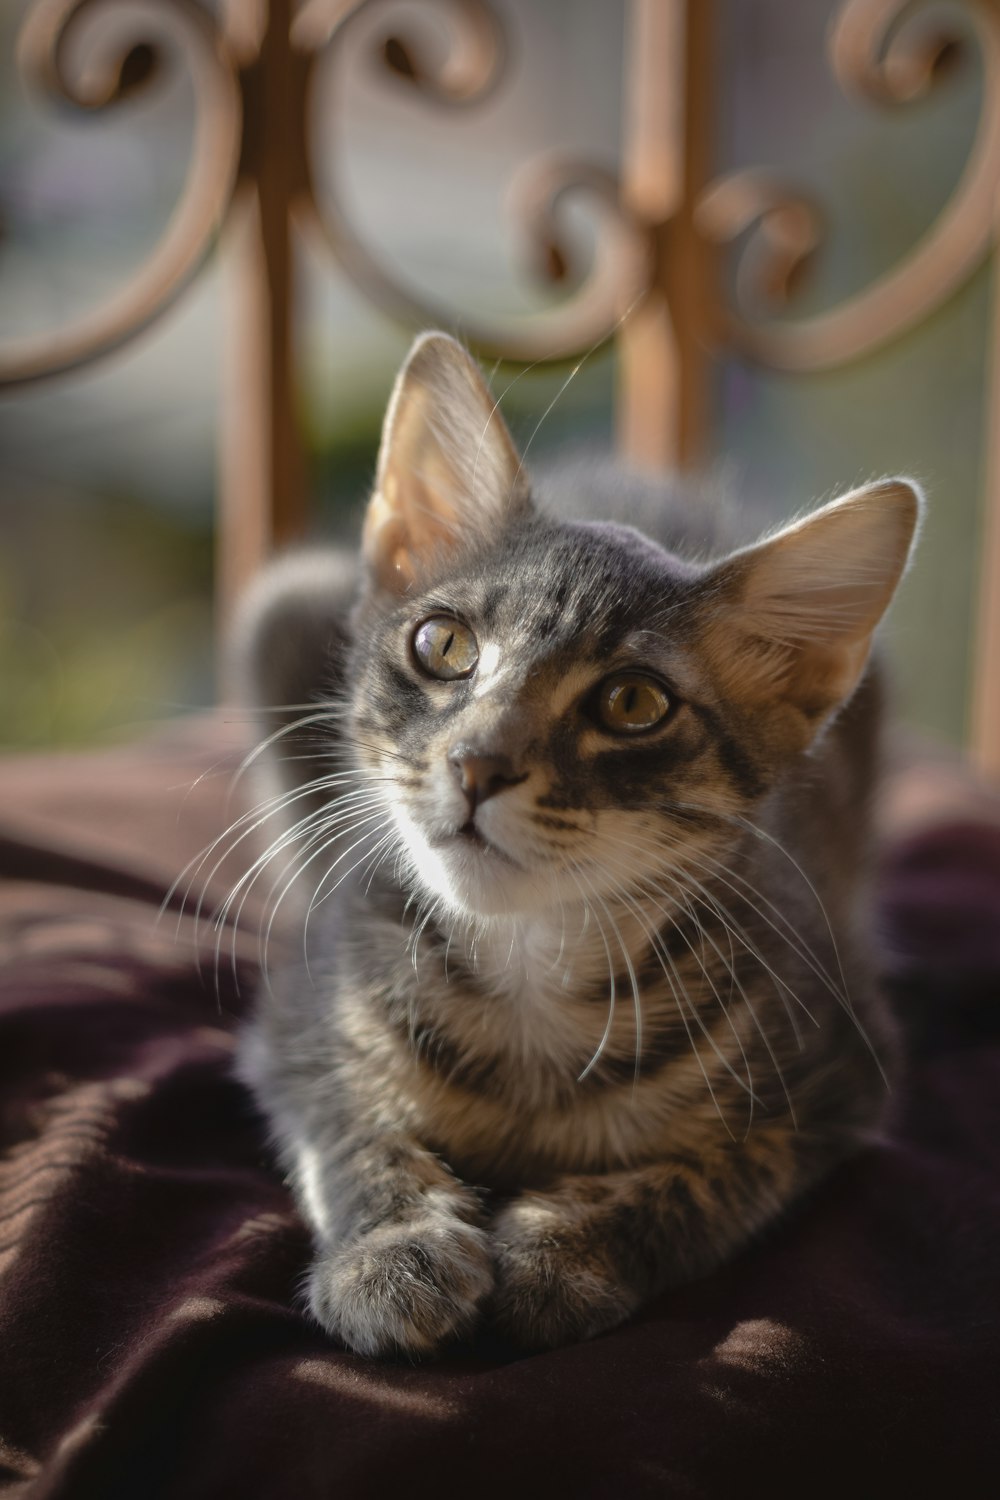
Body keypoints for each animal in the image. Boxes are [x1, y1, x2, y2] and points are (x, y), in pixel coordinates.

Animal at [230, 328, 917, 1362]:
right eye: (443, 645)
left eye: (632, 702)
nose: (478, 762)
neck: (529, 968)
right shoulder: (299, 1020)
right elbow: (351, 1131)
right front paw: (392, 1252)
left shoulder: (835, 1081)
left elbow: (703, 1182)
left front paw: (564, 1252)